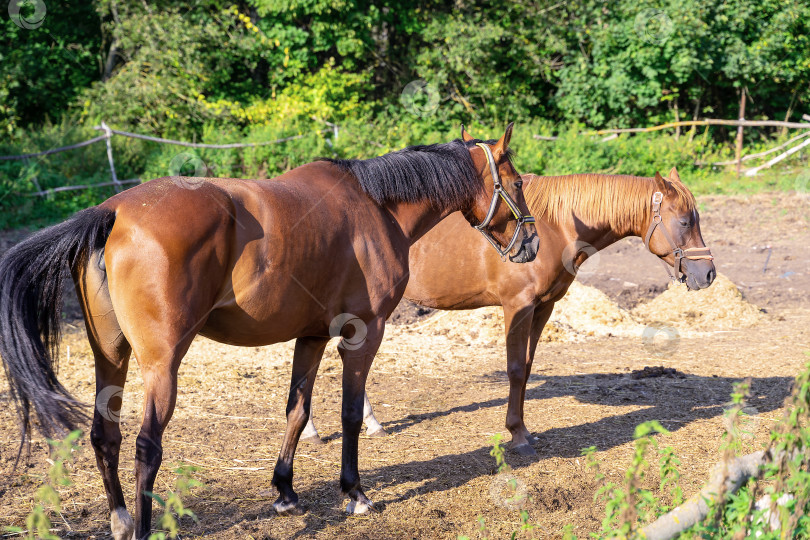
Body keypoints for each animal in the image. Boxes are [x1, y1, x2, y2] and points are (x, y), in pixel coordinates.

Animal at [3, 124, 540, 536]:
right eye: (516, 182)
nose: (531, 242)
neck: (375, 206)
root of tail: (112, 212)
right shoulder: (364, 333)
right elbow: (349, 414)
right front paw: (355, 492)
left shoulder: (312, 337)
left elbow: (297, 413)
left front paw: (284, 490)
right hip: (161, 364)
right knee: (145, 446)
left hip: (110, 357)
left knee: (105, 436)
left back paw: (120, 520)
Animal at [304, 165, 712, 456]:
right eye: (684, 221)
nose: (707, 273)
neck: (555, 226)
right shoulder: (518, 306)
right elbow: (514, 368)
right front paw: (517, 434)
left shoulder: (543, 308)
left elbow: (527, 369)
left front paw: (523, 428)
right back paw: (313, 430)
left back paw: (370, 422)